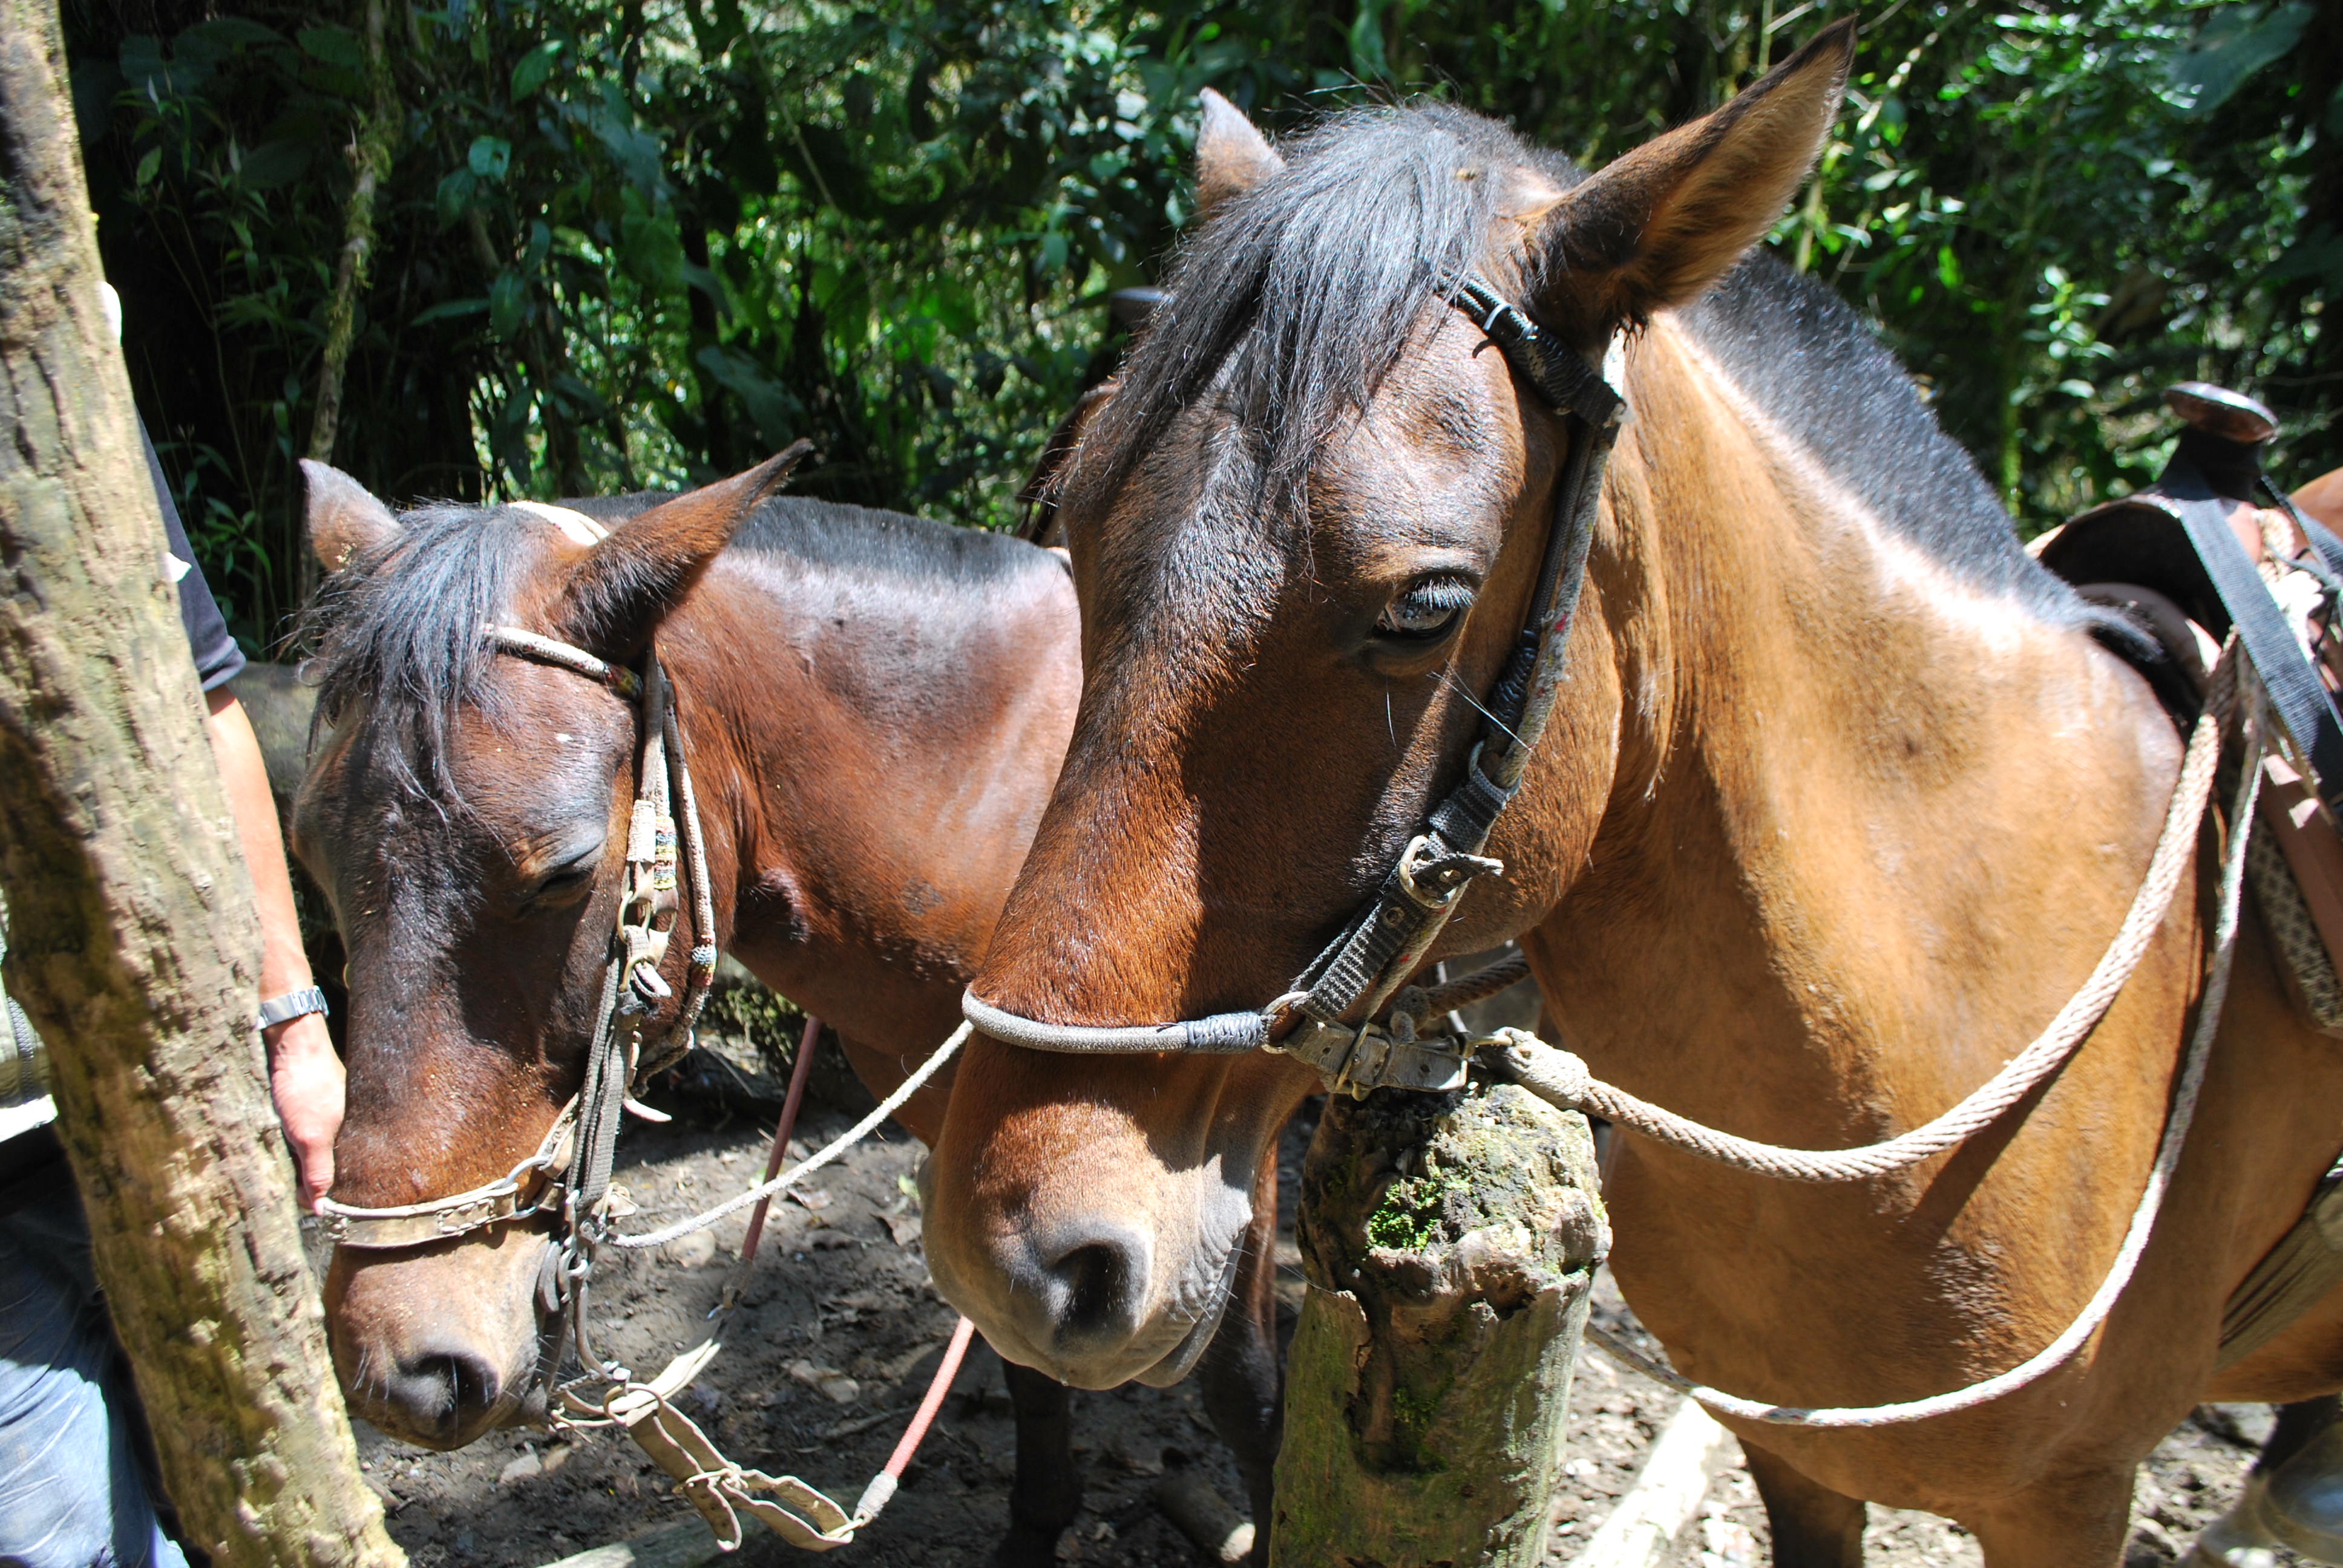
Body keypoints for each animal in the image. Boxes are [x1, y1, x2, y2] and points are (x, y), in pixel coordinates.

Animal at [290, 459, 1283, 1556]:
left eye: (565, 871)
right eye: (310, 860)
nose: (402, 1367)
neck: (1005, 797)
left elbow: (1243, 1390)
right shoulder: (970, 1145)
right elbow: (1021, 1349)